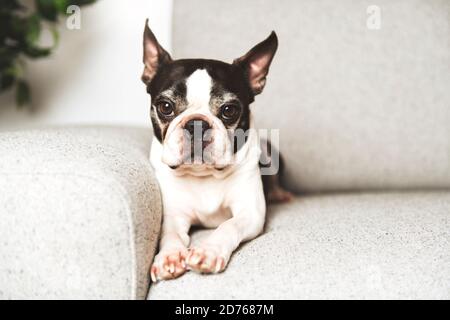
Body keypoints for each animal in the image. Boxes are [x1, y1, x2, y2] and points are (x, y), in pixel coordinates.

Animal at [142, 19, 294, 282]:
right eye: (165, 106)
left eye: (229, 110)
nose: (197, 123)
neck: (204, 175)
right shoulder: (173, 216)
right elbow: (170, 236)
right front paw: (169, 257)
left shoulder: (250, 212)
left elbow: (228, 226)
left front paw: (208, 252)